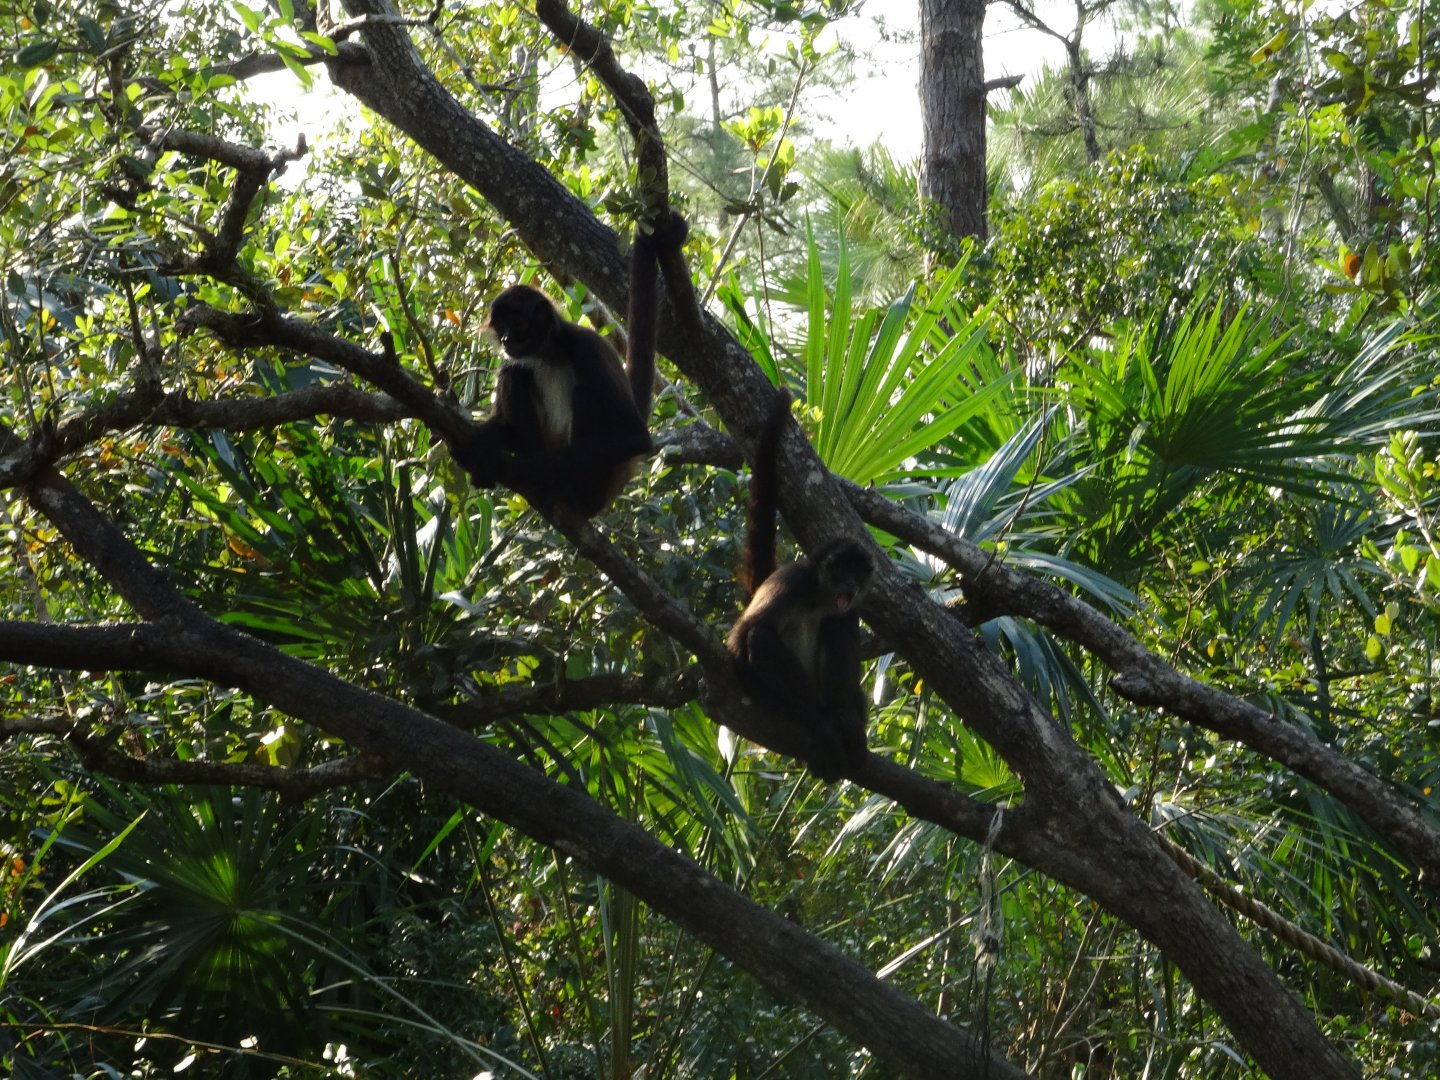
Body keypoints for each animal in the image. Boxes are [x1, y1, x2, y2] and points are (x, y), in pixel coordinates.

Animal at [451, 211, 686, 518]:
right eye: (501, 326)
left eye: (517, 324)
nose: (505, 339)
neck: (549, 354)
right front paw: (485, 441)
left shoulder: (587, 348)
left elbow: (635, 437)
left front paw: (513, 467)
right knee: (513, 373)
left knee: (585, 396)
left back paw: (569, 493)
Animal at [726, 391, 874, 781]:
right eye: (840, 569)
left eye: (858, 574)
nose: (849, 583)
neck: (816, 596)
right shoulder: (790, 583)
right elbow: (738, 645)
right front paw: (819, 726)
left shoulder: (851, 606)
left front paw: (852, 720)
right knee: (758, 637)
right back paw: (823, 718)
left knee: (835, 628)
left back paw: (843, 717)